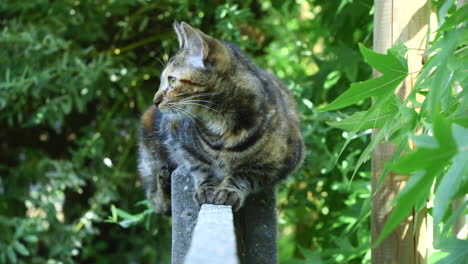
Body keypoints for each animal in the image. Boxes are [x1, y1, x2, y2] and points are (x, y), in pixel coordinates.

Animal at [137, 21, 306, 214]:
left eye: (172, 80)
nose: (155, 101)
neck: (222, 126)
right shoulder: (175, 139)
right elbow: (199, 165)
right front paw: (207, 186)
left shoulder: (285, 161)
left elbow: (246, 174)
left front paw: (229, 190)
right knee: (158, 201)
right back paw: (164, 183)